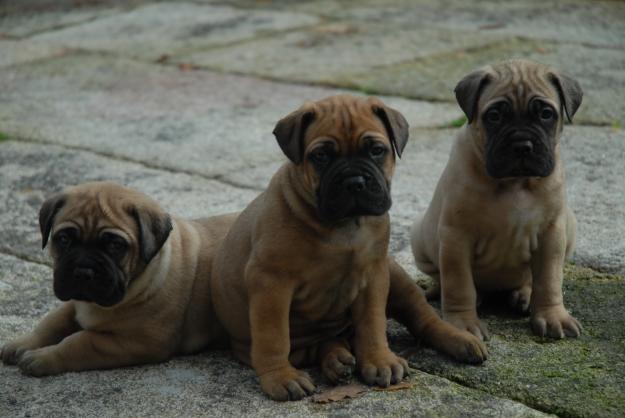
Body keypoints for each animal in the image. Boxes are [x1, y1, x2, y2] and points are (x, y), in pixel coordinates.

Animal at [0, 183, 232, 376]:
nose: (83, 270)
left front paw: (44, 356)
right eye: (63, 239)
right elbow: (52, 323)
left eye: (115, 246)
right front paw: (24, 343)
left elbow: (79, 342)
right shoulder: (73, 304)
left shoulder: (134, 342)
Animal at [212, 94, 486, 402]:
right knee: (324, 342)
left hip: (397, 277)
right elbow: (273, 336)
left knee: (424, 319)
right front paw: (280, 377)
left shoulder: (374, 277)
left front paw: (379, 360)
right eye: (321, 156)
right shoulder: (271, 283)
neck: (342, 226)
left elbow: (373, 324)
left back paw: (460, 340)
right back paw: (337, 361)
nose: (354, 182)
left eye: (377, 150)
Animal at [412, 58, 584, 340]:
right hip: (420, 236)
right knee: (447, 277)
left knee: (529, 278)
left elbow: (549, 279)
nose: (522, 144)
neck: (515, 183)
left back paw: (524, 294)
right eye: (494, 116)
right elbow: (459, 284)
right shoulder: (456, 237)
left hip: (570, 225)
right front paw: (463, 324)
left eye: (546, 114)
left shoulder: (553, 233)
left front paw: (552, 316)